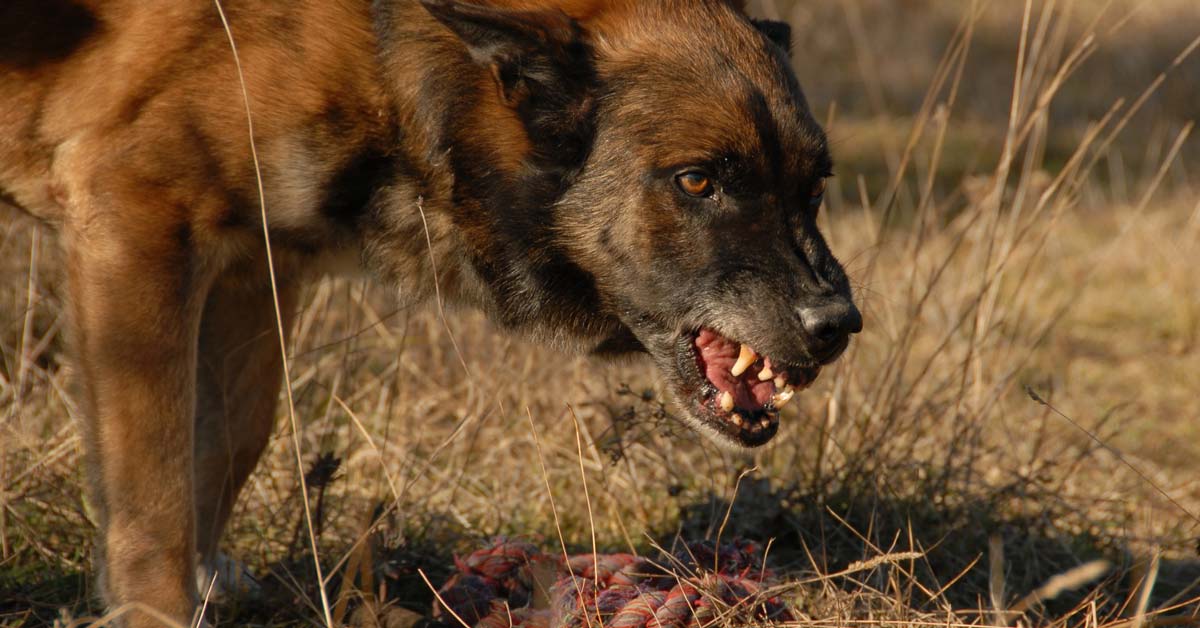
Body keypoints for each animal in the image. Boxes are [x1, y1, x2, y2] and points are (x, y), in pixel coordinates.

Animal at [0, 0, 864, 624]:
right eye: (697, 181)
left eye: (815, 186)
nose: (837, 326)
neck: (384, 55)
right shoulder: (138, 223)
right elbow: (155, 483)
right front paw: (157, 607)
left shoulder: (255, 264)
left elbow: (229, 440)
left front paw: (206, 577)